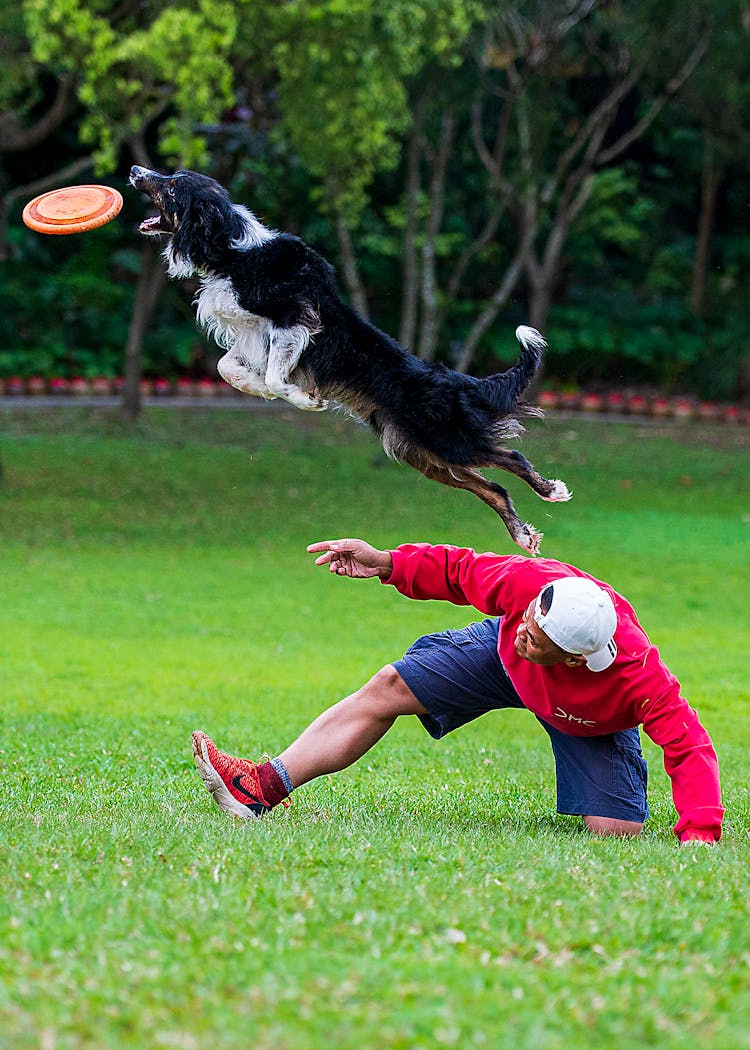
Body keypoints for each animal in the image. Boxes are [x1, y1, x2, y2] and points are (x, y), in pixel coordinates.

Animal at [131, 168, 571, 554]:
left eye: (173, 185)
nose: (135, 170)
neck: (231, 252)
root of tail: (458, 382)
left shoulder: (295, 319)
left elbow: (274, 375)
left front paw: (304, 399)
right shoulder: (252, 335)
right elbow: (229, 369)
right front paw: (259, 388)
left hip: (449, 441)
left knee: (512, 458)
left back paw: (552, 490)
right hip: (425, 455)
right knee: (494, 488)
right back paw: (523, 537)